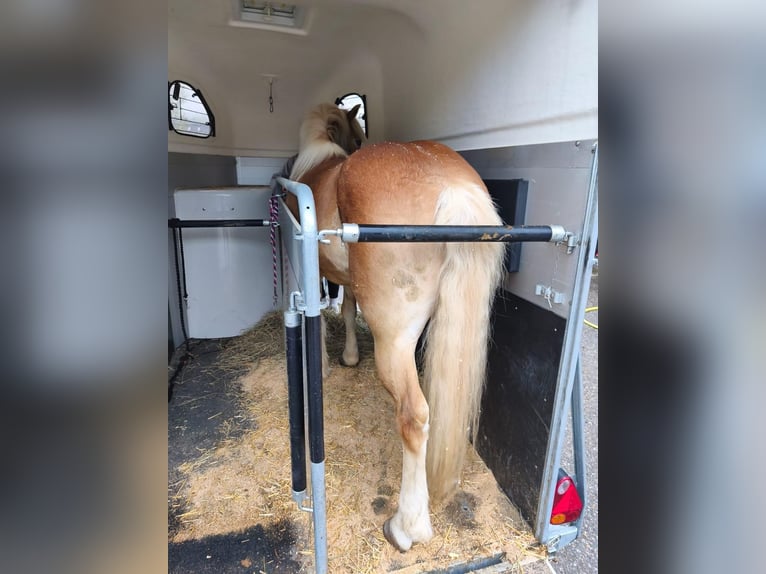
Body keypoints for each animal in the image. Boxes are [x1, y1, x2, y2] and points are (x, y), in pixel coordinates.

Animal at [285, 103, 505, 552]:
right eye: (355, 134)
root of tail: (450, 183)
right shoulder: (349, 282)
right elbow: (347, 308)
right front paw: (350, 357)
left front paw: (327, 365)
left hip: (395, 340)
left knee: (413, 415)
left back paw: (407, 527)